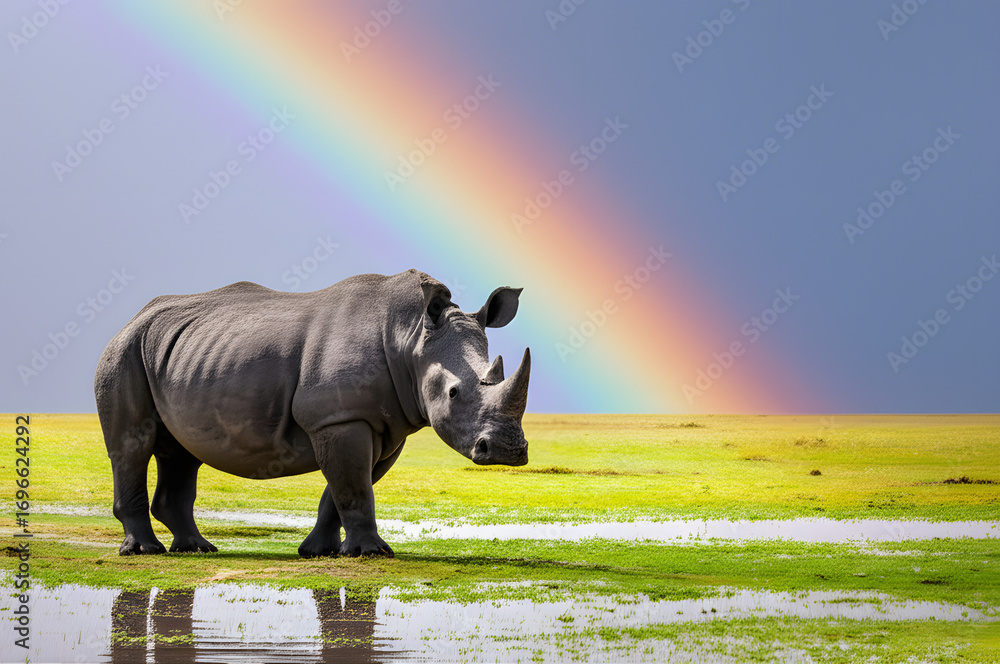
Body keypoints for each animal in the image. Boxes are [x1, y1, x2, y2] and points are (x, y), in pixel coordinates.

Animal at [94, 269, 530, 557]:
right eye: (454, 393)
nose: (507, 451)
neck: (409, 338)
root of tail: (132, 320)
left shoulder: (382, 427)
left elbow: (344, 489)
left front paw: (320, 552)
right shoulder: (339, 417)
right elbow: (353, 487)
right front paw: (371, 553)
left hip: (178, 352)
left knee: (183, 453)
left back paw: (197, 549)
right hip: (124, 351)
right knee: (132, 445)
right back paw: (145, 551)